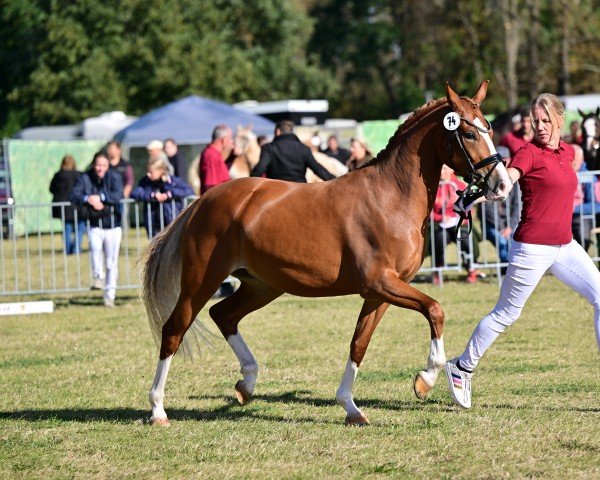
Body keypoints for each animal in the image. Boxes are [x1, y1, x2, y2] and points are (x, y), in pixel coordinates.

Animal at [141, 80, 510, 426]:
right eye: (467, 132)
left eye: (489, 129)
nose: (503, 185)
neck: (390, 197)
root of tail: (204, 200)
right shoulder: (380, 283)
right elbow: (435, 310)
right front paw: (426, 379)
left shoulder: (380, 293)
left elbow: (359, 343)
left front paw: (351, 407)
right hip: (201, 282)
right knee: (174, 330)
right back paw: (158, 409)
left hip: (263, 285)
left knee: (224, 315)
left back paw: (246, 384)